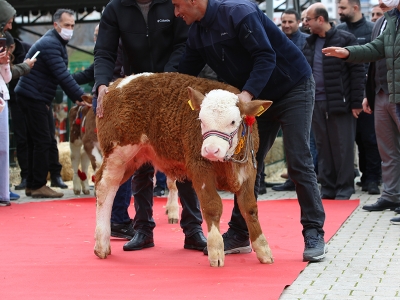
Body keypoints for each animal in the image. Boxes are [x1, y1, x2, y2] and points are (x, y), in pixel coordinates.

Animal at [95, 72, 274, 268]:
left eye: (233, 121)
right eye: (201, 120)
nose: (211, 150)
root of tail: (117, 83)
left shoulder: (248, 169)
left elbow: (249, 208)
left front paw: (263, 250)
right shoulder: (199, 167)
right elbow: (212, 206)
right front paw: (216, 251)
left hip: (134, 158)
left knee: (108, 185)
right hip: (118, 151)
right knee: (104, 186)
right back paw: (101, 244)